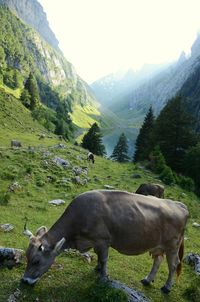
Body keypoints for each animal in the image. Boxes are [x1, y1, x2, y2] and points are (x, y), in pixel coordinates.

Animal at [21, 191, 188, 292]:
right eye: (27, 257)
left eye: (36, 261)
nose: (24, 281)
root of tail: (179, 204)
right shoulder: (95, 242)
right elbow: (99, 258)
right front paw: (97, 269)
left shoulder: (103, 240)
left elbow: (104, 259)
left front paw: (103, 277)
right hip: (157, 245)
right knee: (158, 260)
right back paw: (147, 280)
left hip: (172, 245)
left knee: (173, 265)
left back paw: (167, 287)